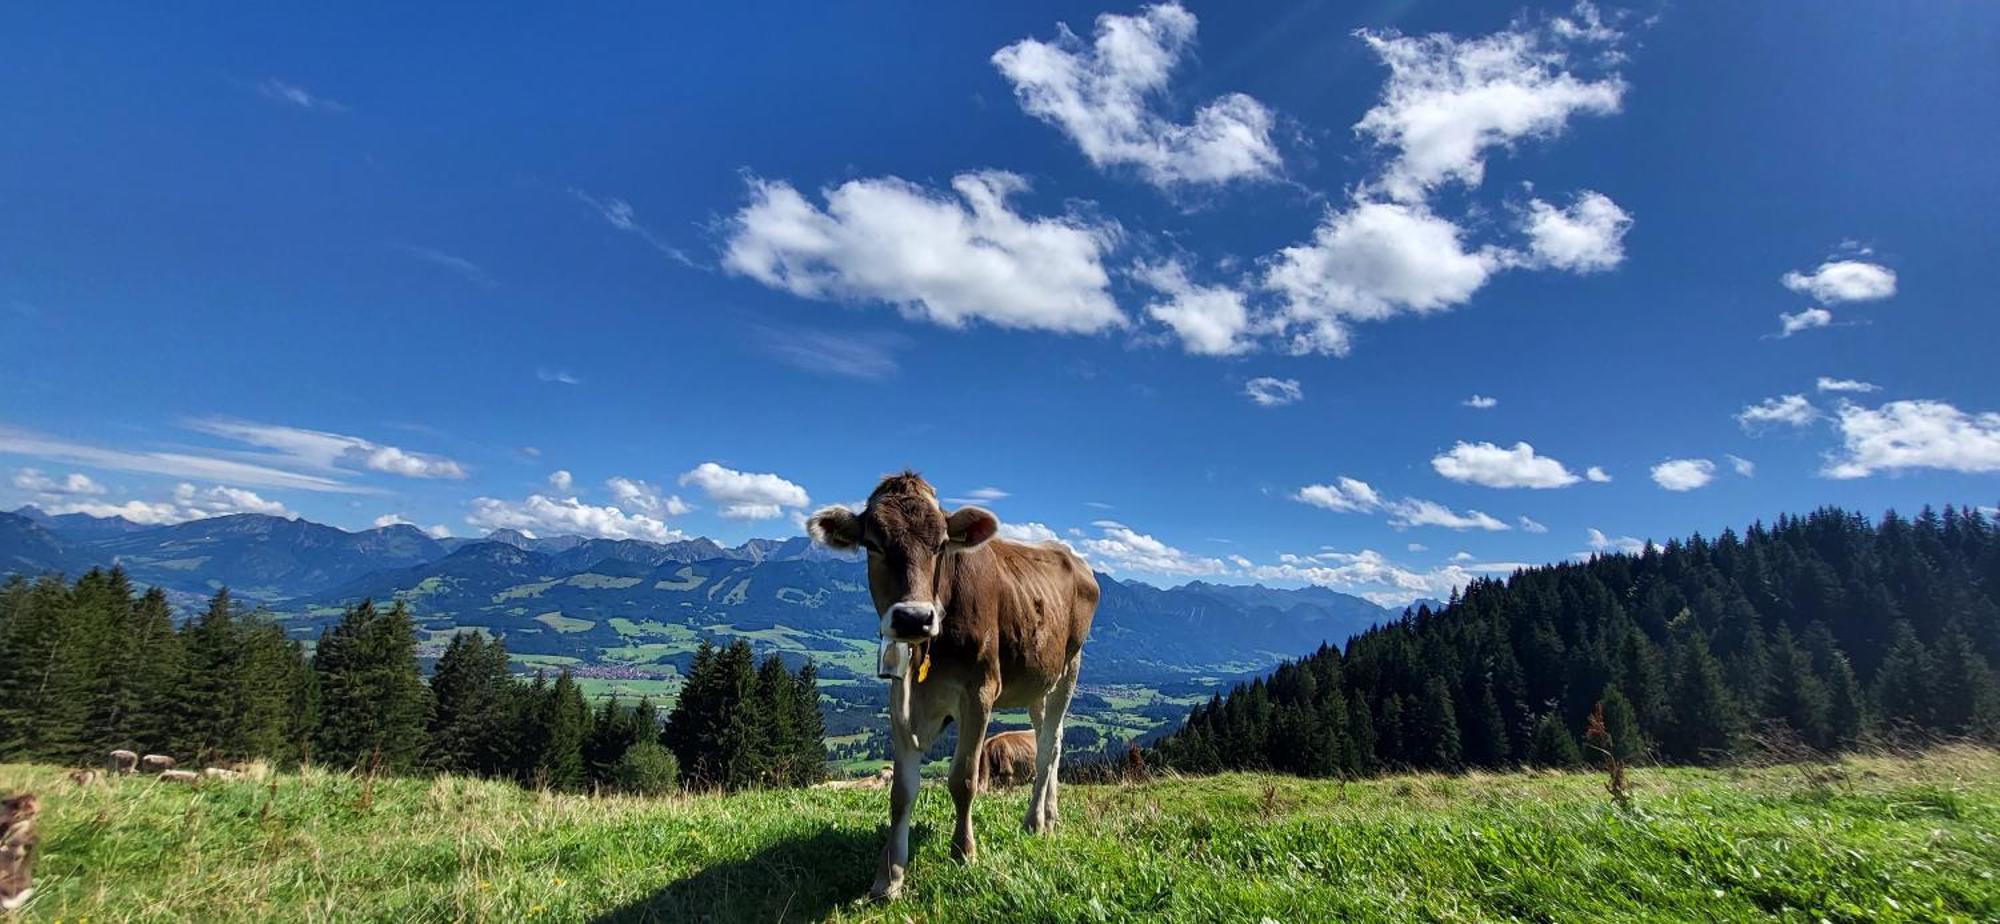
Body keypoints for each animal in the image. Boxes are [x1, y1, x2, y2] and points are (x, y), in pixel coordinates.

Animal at [804, 472, 1104, 900]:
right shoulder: (899, 696)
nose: (913, 618)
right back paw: (1051, 815)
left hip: (1070, 665)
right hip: (1038, 682)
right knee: (1053, 739)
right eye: (873, 545)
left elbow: (962, 779)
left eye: (941, 544)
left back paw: (1035, 821)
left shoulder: (980, 692)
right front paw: (888, 876)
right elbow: (901, 792)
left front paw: (964, 852)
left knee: (1049, 745)